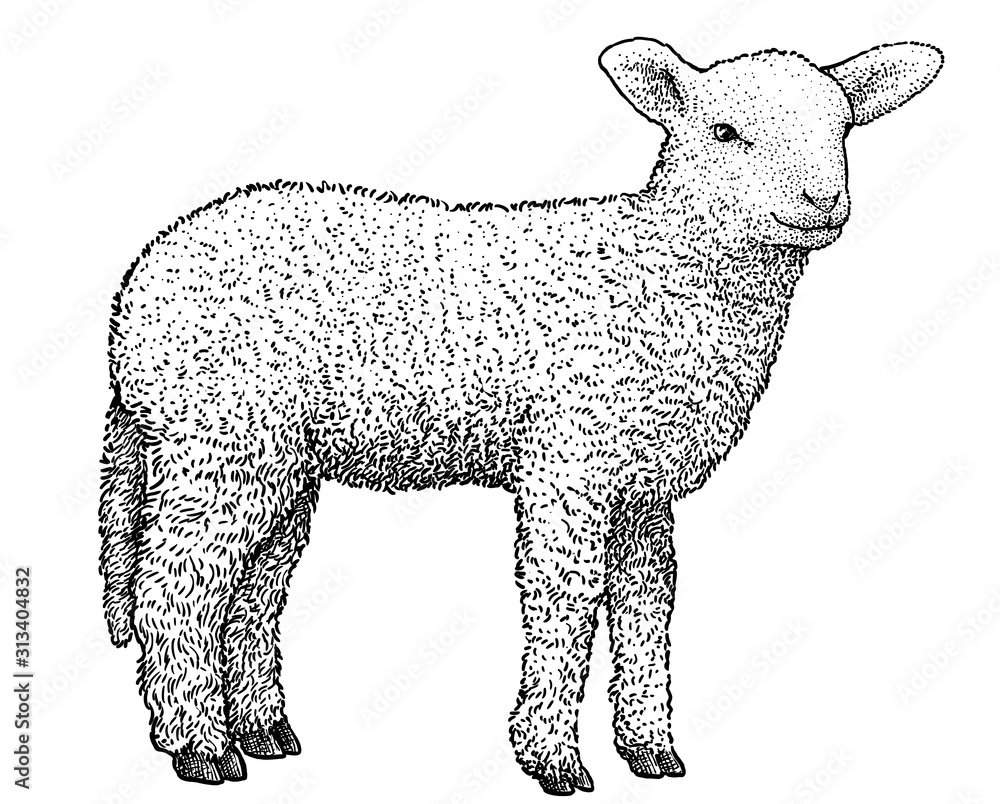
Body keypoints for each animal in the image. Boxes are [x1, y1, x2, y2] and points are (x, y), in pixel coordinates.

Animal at [98, 37, 943, 793]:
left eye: (843, 128)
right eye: (725, 132)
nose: (821, 202)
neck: (659, 274)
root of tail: (137, 290)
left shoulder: (641, 488)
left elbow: (646, 608)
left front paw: (649, 749)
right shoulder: (568, 466)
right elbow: (565, 606)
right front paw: (553, 759)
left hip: (278, 456)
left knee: (251, 588)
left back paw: (263, 730)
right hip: (218, 436)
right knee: (173, 583)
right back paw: (199, 747)